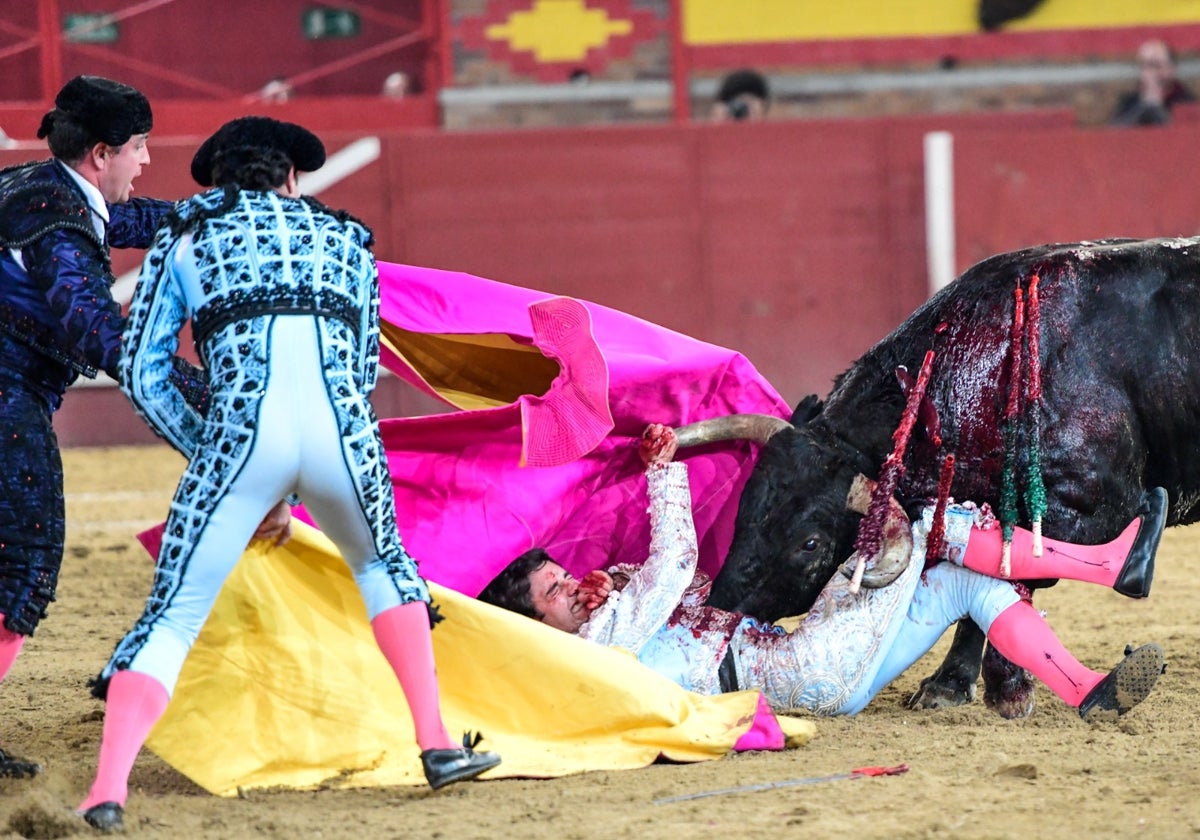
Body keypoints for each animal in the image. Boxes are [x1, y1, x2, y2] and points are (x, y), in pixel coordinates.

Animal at [681, 235, 1200, 715]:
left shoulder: (1085, 509)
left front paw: (1007, 689)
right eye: (745, 508)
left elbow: (1015, 579)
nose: (714, 612)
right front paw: (950, 685)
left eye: (809, 544)